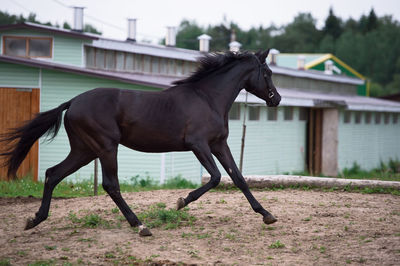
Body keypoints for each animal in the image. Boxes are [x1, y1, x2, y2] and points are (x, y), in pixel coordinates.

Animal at [0, 48, 282, 236]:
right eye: (267, 72)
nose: (276, 99)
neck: (208, 98)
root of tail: (73, 102)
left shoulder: (219, 145)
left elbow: (238, 178)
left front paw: (267, 215)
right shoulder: (198, 144)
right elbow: (215, 177)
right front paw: (181, 202)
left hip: (84, 150)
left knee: (52, 174)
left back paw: (35, 219)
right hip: (105, 147)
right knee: (110, 185)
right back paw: (140, 225)